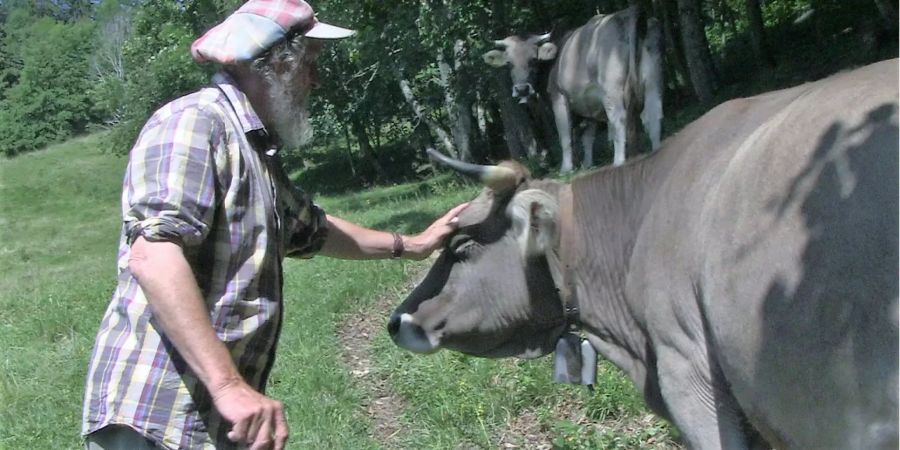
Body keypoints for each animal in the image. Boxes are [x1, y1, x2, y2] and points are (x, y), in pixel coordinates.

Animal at [482, 7, 664, 172]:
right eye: (509, 63)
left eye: (533, 60)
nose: (521, 90)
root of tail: (627, 14)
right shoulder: (591, 105)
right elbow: (588, 137)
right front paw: (587, 164)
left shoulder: (559, 96)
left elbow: (565, 134)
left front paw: (567, 168)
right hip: (653, 82)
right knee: (654, 114)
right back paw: (656, 152)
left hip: (611, 90)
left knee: (619, 119)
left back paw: (619, 162)